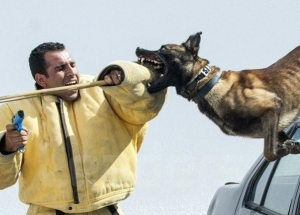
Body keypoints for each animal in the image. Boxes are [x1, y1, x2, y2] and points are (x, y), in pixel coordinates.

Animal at [137, 32, 300, 161]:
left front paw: (286, 148)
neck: (207, 83)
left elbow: (269, 153)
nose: (138, 48)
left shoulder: (272, 105)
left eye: (163, 48)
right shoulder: (275, 125)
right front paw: (292, 147)